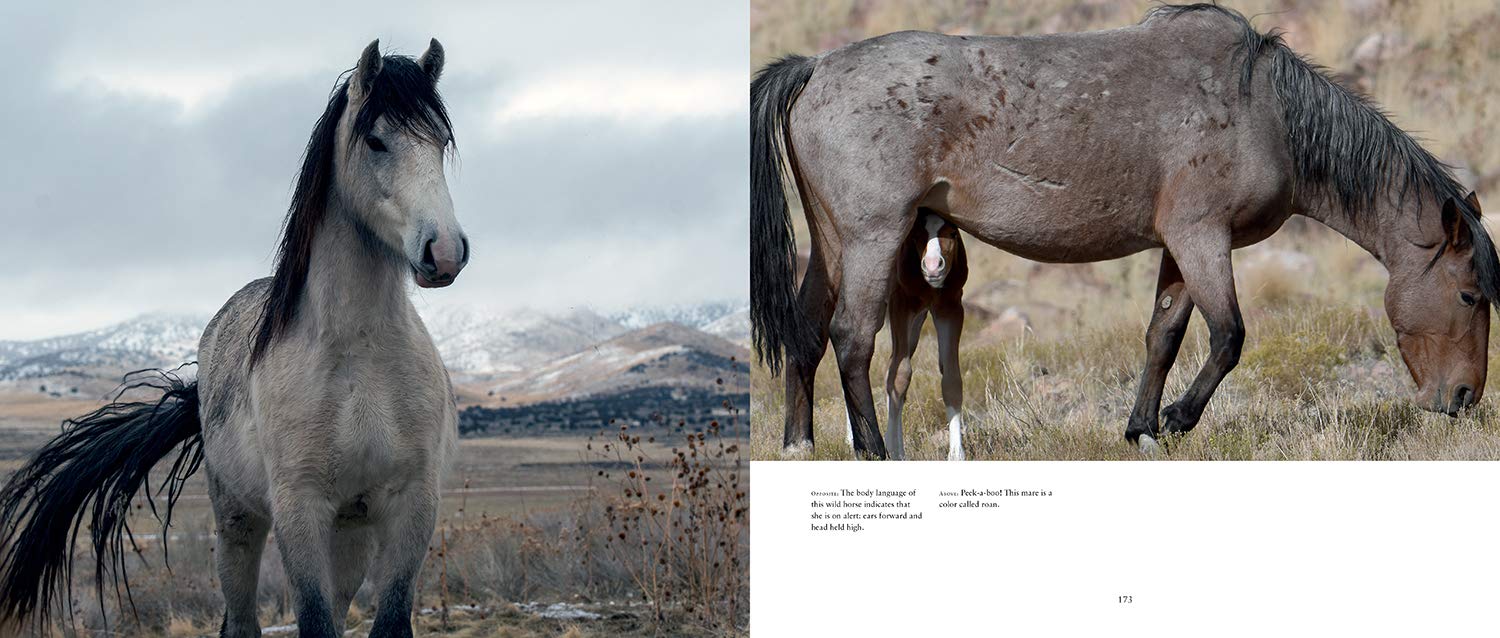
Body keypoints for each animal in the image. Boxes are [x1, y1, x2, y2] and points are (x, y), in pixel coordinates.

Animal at [0, 39, 469, 638]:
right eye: (376, 140)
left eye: (440, 142)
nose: (445, 251)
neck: (361, 353)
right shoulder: (299, 509)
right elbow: (313, 618)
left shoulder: (412, 508)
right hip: (238, 521)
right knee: (241, 619)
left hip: (352, 530)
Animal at [858, 211, 967, 460]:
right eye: (916, 235)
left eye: (953, 233)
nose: (933, 267)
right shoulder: (901, 304)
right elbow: (900, 375)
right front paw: (892, 450)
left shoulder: (950, 308)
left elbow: (951, 377)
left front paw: (956, 454)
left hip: (916, 322)